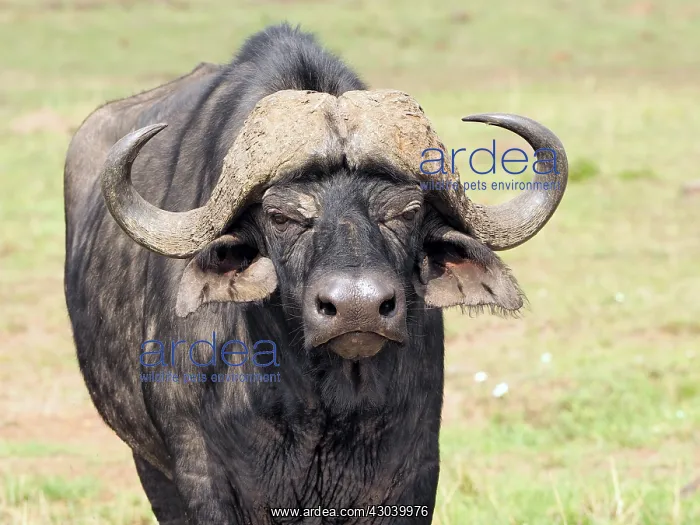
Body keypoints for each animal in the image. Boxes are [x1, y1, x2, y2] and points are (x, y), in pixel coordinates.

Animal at [64, 23, 567, 524]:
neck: (316, 400)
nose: (358, 308)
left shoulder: (415, 467)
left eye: (408, 211)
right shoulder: (200, 475)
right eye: (280, 217)